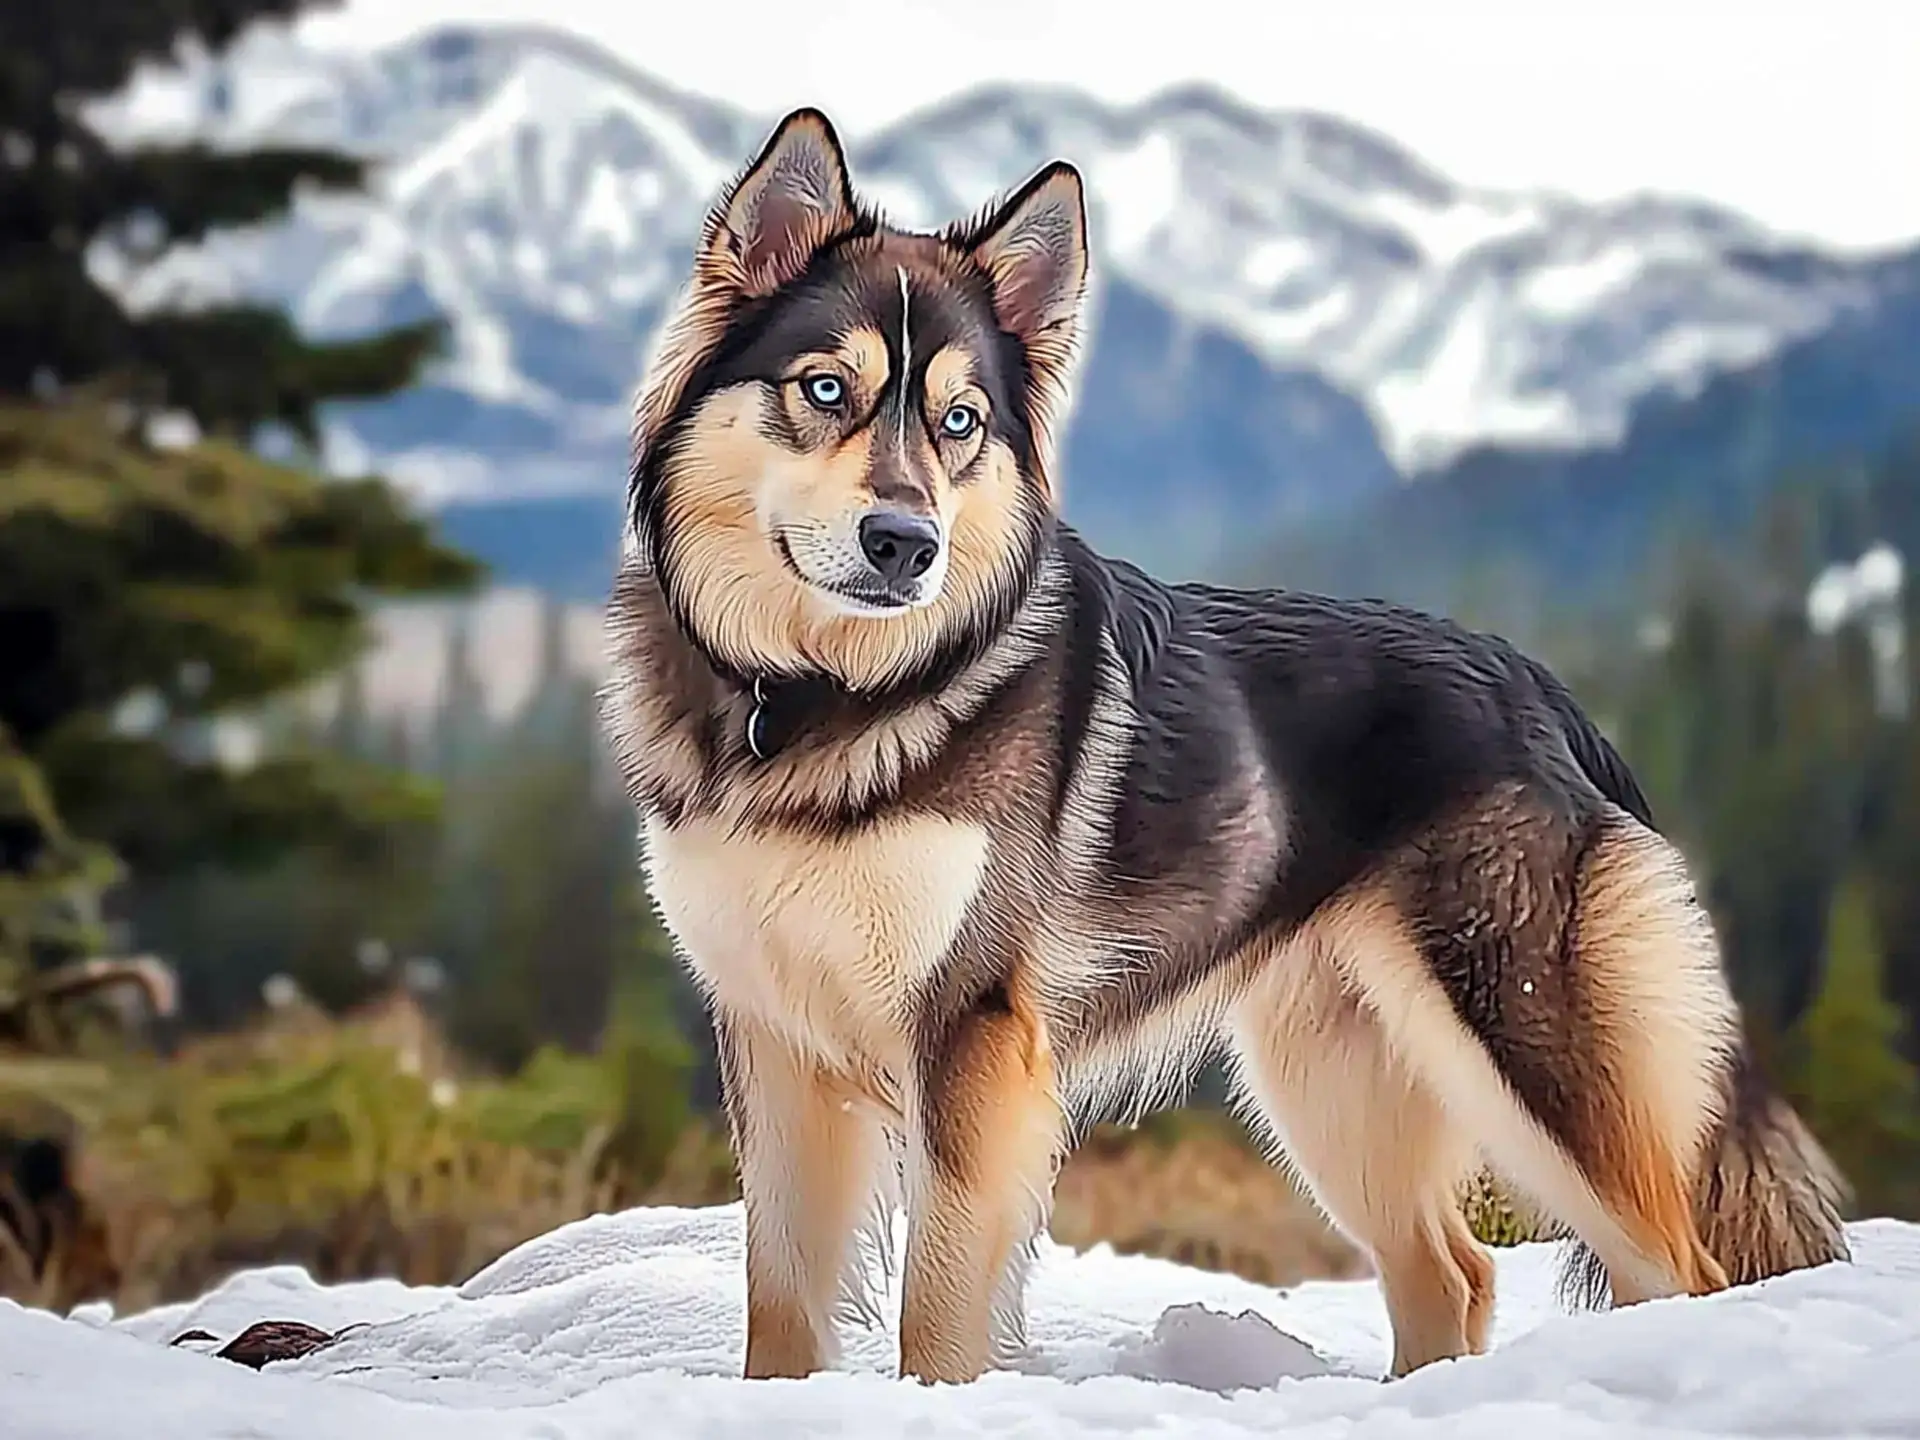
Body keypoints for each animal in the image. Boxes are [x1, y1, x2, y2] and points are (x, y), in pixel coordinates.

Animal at [606, 107, 1850, 1390]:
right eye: (825, 387)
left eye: (960, 422)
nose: (905, 544)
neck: (822, 695)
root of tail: (1544, 689)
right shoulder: (770, 1040)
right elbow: (779, 1301)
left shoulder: (973, 1032)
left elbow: (938, 1306)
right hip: (1330, 1079)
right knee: (1453, 1274)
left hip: (1522, 1053)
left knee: (1679, 1270)